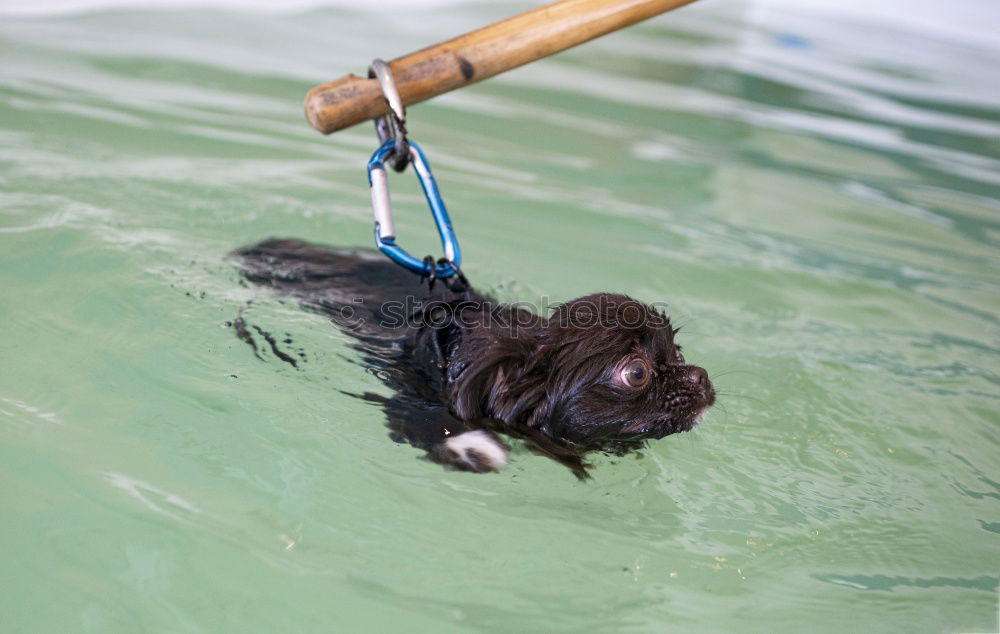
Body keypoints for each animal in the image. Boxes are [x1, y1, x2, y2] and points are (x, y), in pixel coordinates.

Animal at [229, 237, 712, 474]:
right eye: (637, 373)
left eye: (678, 350)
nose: (701, 376)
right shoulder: (419, 397)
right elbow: (434, 426)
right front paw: (472, 450)